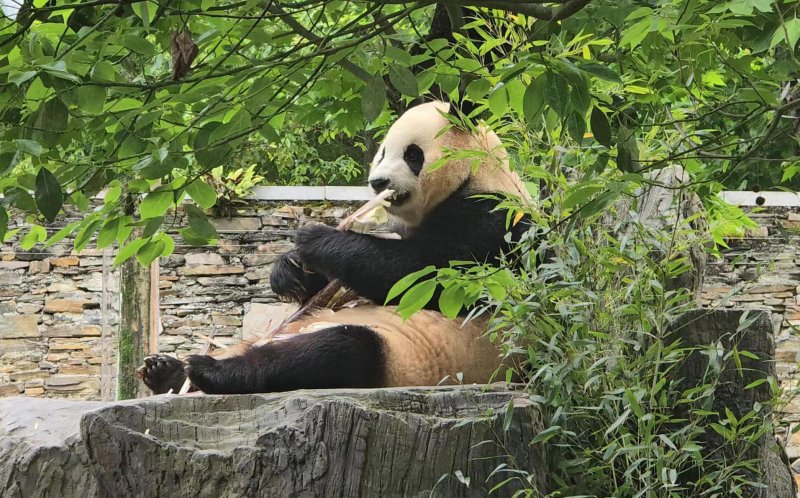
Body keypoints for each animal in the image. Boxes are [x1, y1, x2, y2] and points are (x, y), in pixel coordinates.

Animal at [141, 101, 536, 394]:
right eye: (381, 153)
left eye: (413, 154)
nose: (379, 183)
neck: (475, 173)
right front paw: (290, 271)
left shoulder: (493, 221)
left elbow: (422, 275)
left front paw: (314, 239)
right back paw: (166, 370)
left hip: (407, 355)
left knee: (336, 351)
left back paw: (208, 370)